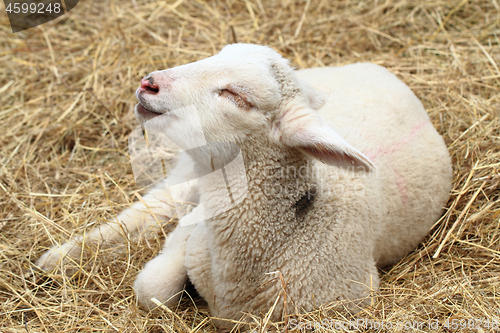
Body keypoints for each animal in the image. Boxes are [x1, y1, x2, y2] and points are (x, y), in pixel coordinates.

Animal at [36, 43, 454, 326]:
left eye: (237, 96)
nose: (148, 83)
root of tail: (377, 68)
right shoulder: (193, 230)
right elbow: (152, 289)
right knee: (157, 205)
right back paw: (61, 258)